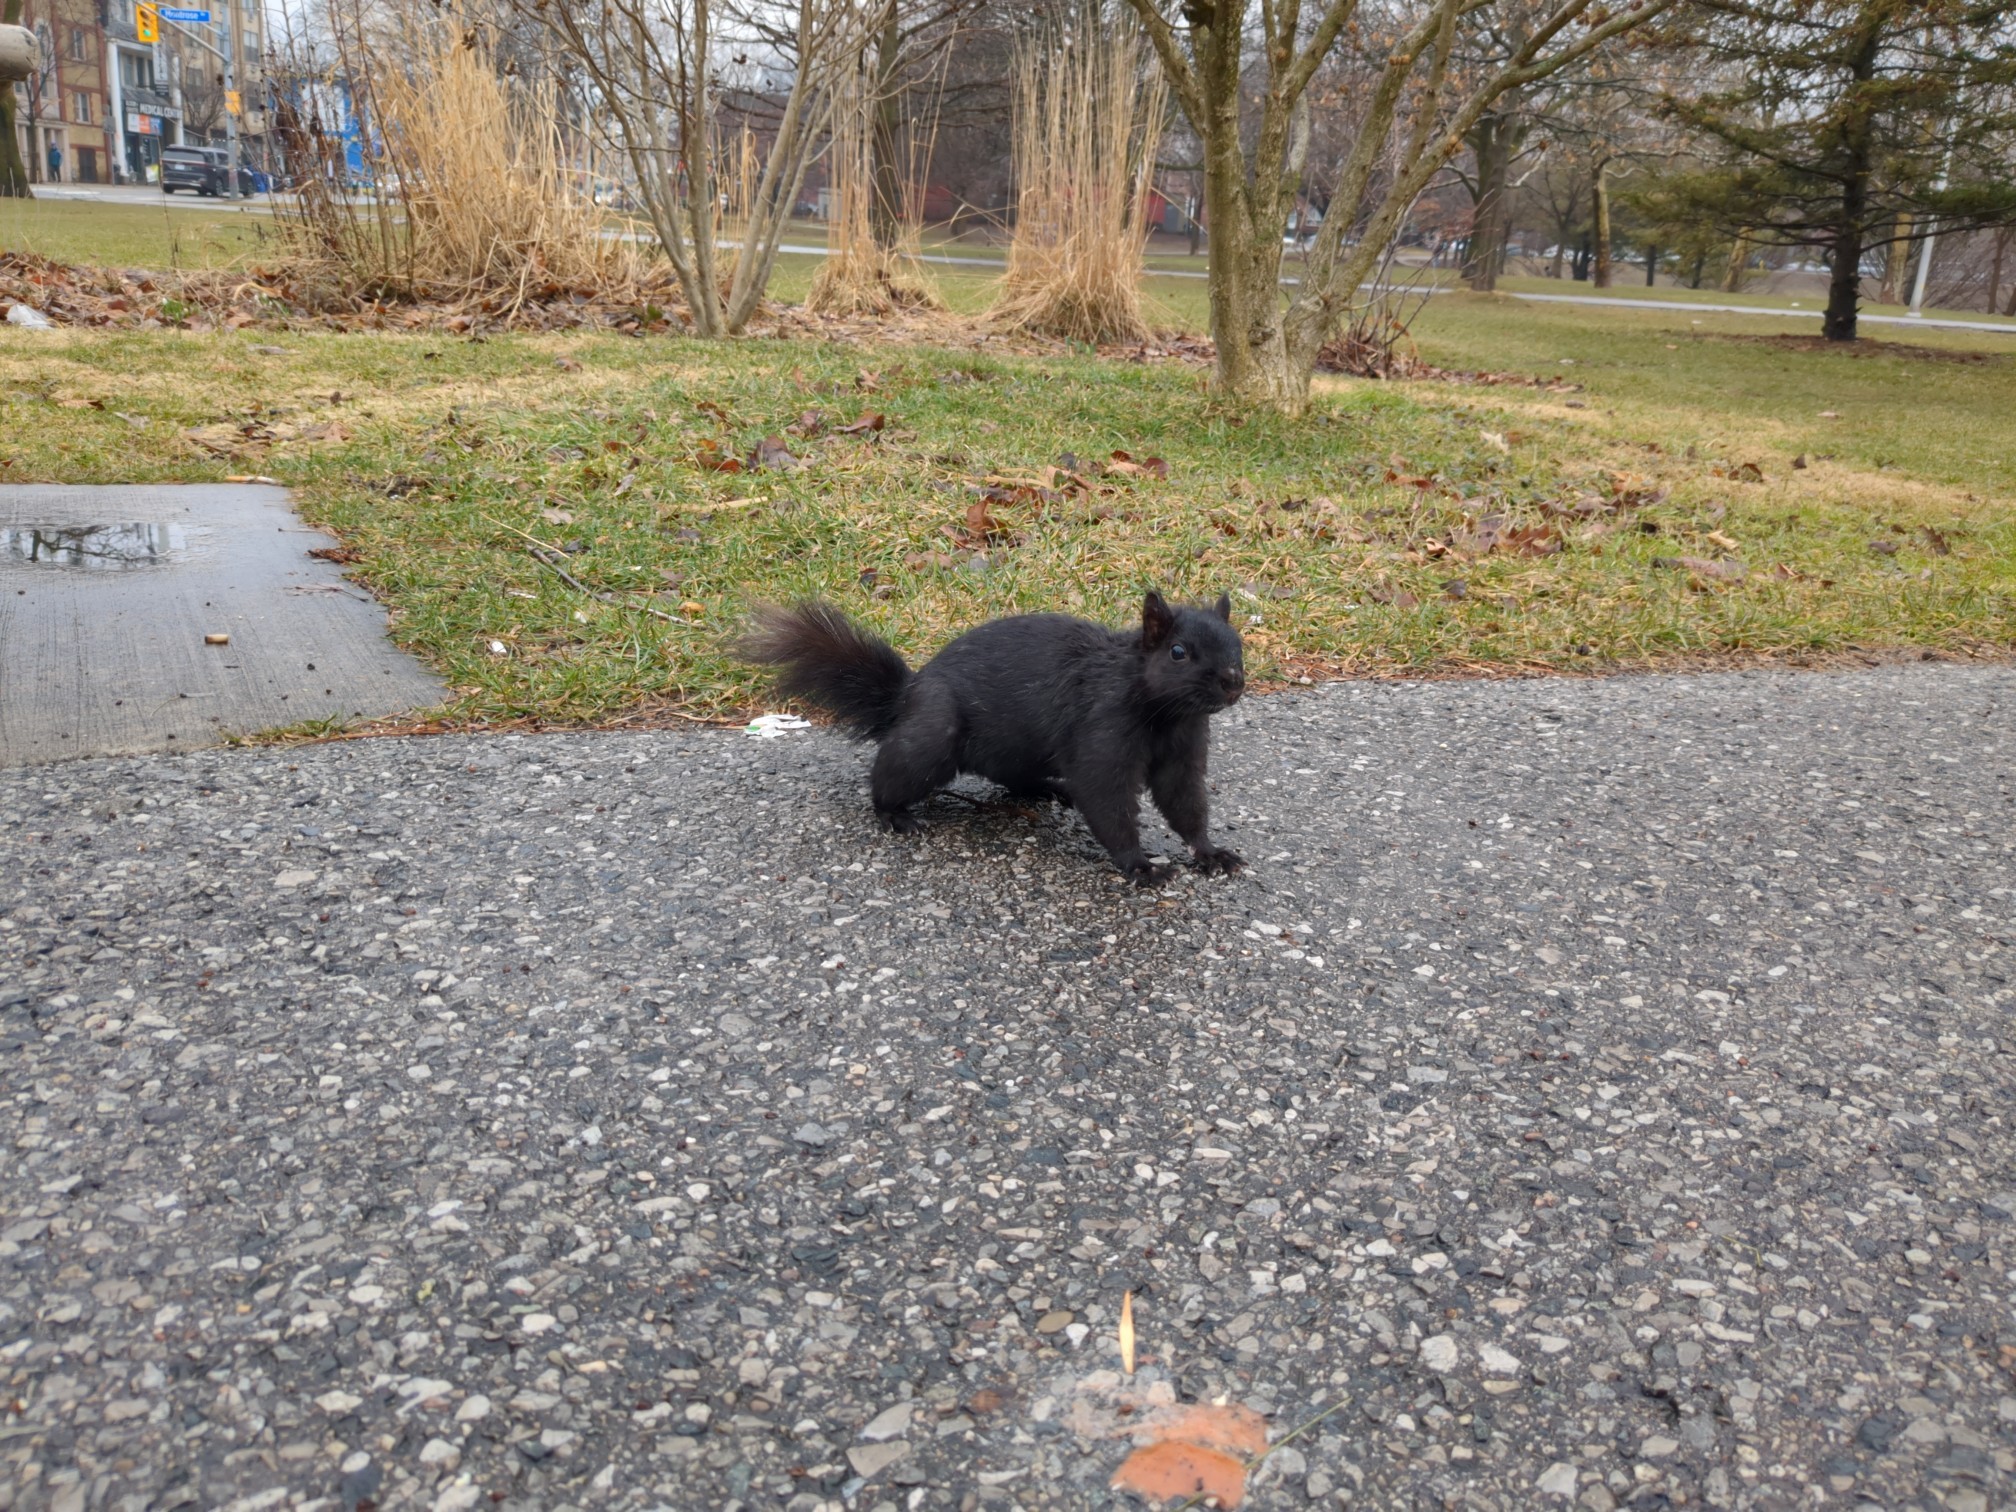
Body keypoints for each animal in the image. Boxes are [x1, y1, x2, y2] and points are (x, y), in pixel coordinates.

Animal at [741, 591, 1247, 884]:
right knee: (890, 776)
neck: (1165, 714)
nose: (1233, 681)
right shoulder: (1101, 733)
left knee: (1011, 775)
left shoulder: (1184, 752)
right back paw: (894, 815)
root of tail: (906, 698)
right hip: (931, 740)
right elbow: (1108, 803)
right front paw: (1139, 864)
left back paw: (1047, 790)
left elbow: (1185, 803)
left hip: (1016, 751)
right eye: (1178, 652)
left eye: (1239, 644)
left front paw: (1210, 852)